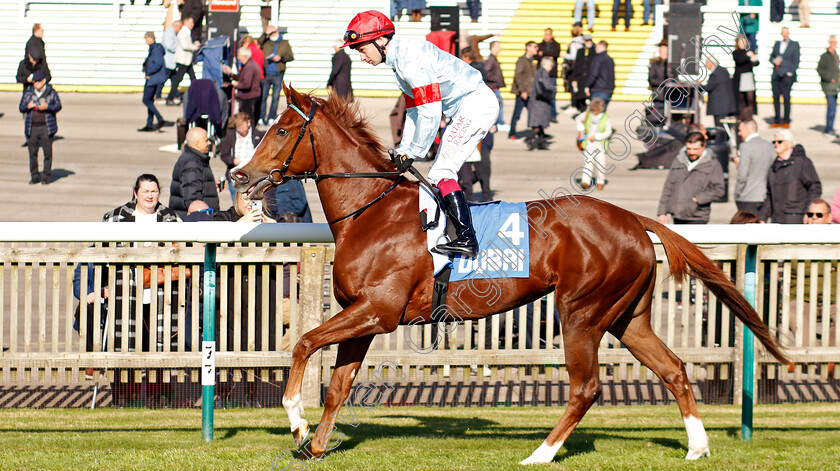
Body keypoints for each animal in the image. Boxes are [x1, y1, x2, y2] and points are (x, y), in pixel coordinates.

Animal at [231, 86, 788, 466]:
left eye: (281, 130)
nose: (239, 174)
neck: (371, 211)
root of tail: (633, 218)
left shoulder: (379, 313)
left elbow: (304, 343)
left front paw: (295, 420)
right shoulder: (362, 315)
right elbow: (338, 384)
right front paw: (315, 444)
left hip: (580, 312)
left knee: (586, 387)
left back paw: (541, 453)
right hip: (628, 315)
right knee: (672, 368)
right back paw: (696, 447)